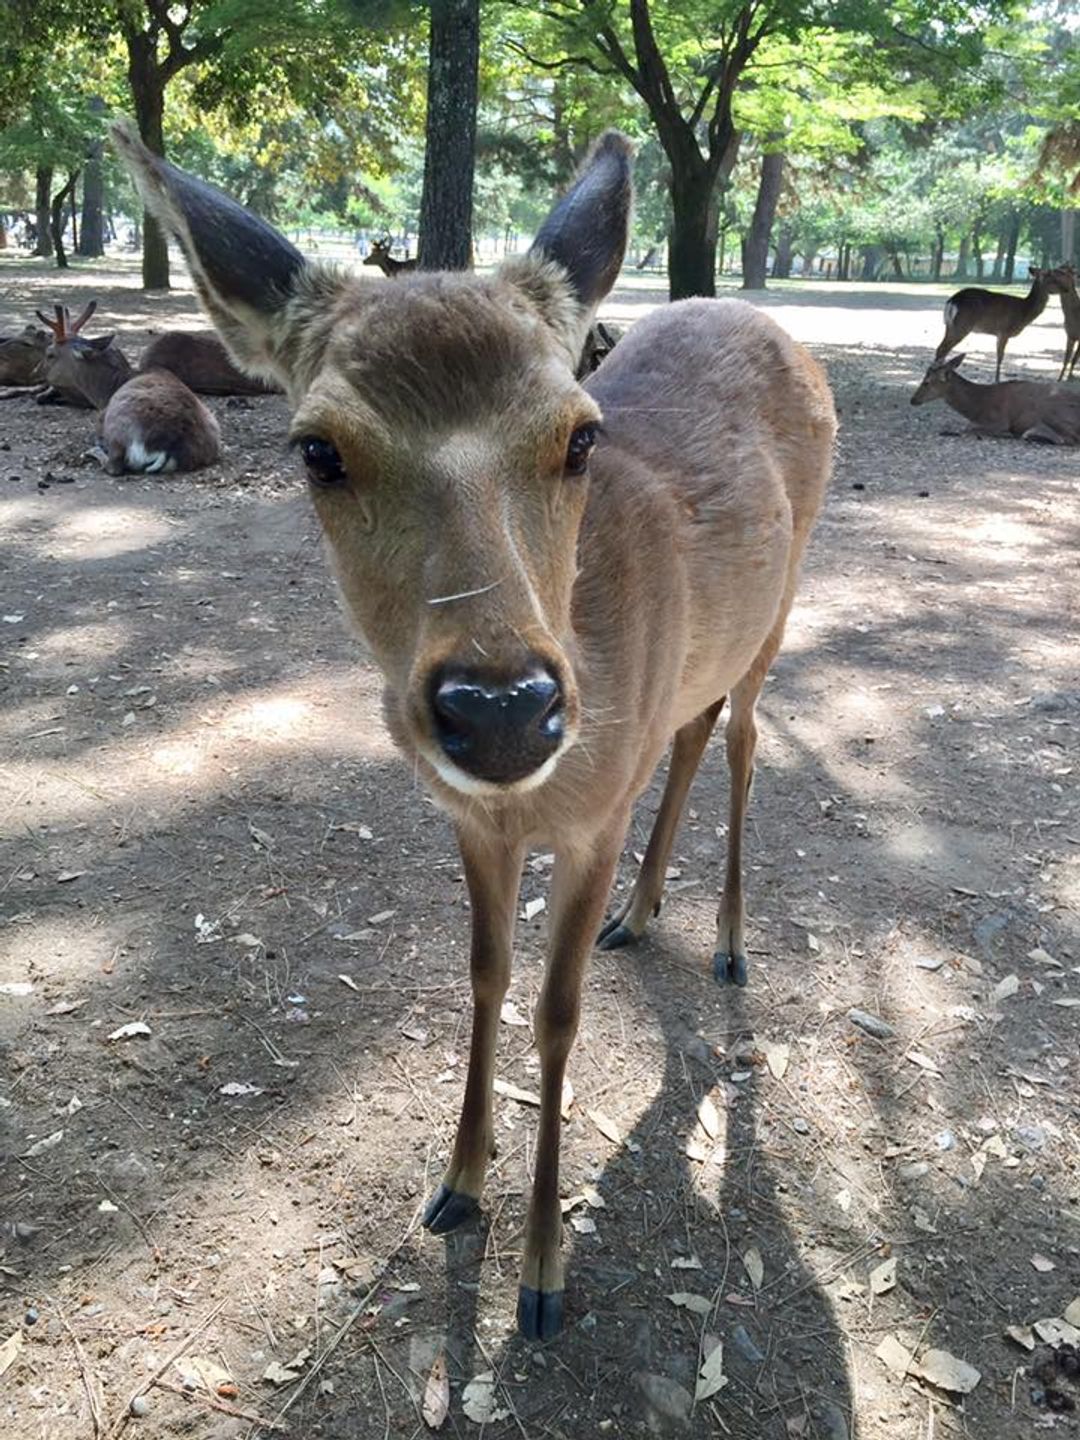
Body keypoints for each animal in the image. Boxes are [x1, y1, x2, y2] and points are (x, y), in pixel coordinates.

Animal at [114, 120, 840, 1336]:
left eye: (580, 437)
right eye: (317, 449)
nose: (502, 712)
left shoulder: (589, 821)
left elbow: (556, 1013)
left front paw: (542, 1272)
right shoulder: (470, 820)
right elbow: (485, 974)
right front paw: (455, 1185)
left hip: (783, 605)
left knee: (741, 737)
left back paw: (731, 941)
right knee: (690, 733)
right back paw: (643, 914)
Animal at [915, 349, 1080, 443]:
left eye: (926, 382)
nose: (913, 400)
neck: (978, 406)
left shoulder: (999, 420)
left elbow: (968, 427)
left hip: (1053, 412)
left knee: (1067, 439)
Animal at [933, 263, 1077, 380]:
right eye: (1052, 277)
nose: (1066, 289)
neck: (1024, 311)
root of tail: (951, 301)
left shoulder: (999, 334)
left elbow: (999, 356)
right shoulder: (1004, 331)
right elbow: (1000, 358)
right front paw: (997, 381)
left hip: (949, 326)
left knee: (941, 348)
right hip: (962, 326)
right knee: (943, 348)